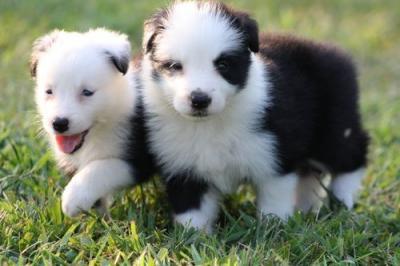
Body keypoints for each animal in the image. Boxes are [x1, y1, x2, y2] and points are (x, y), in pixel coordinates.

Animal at [30, 28, 152, 217]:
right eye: (49, 91)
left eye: (87, 92)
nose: (59, 123)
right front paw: (101, 216)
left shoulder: (141, 154)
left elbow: (103, 166)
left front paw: (74, 198)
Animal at [141, 1, 368, 232]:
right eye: (174, 66)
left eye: (223, 64)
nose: (199, 99)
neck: (210, 123)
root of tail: (332, 51)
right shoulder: (183, 168)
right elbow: (192, 211)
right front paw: (194, 236)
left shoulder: (274, 155)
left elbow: (274, 200)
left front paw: (273, 228)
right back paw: (306, 209)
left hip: (334, 125)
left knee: (352, 154)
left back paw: (344, 201)